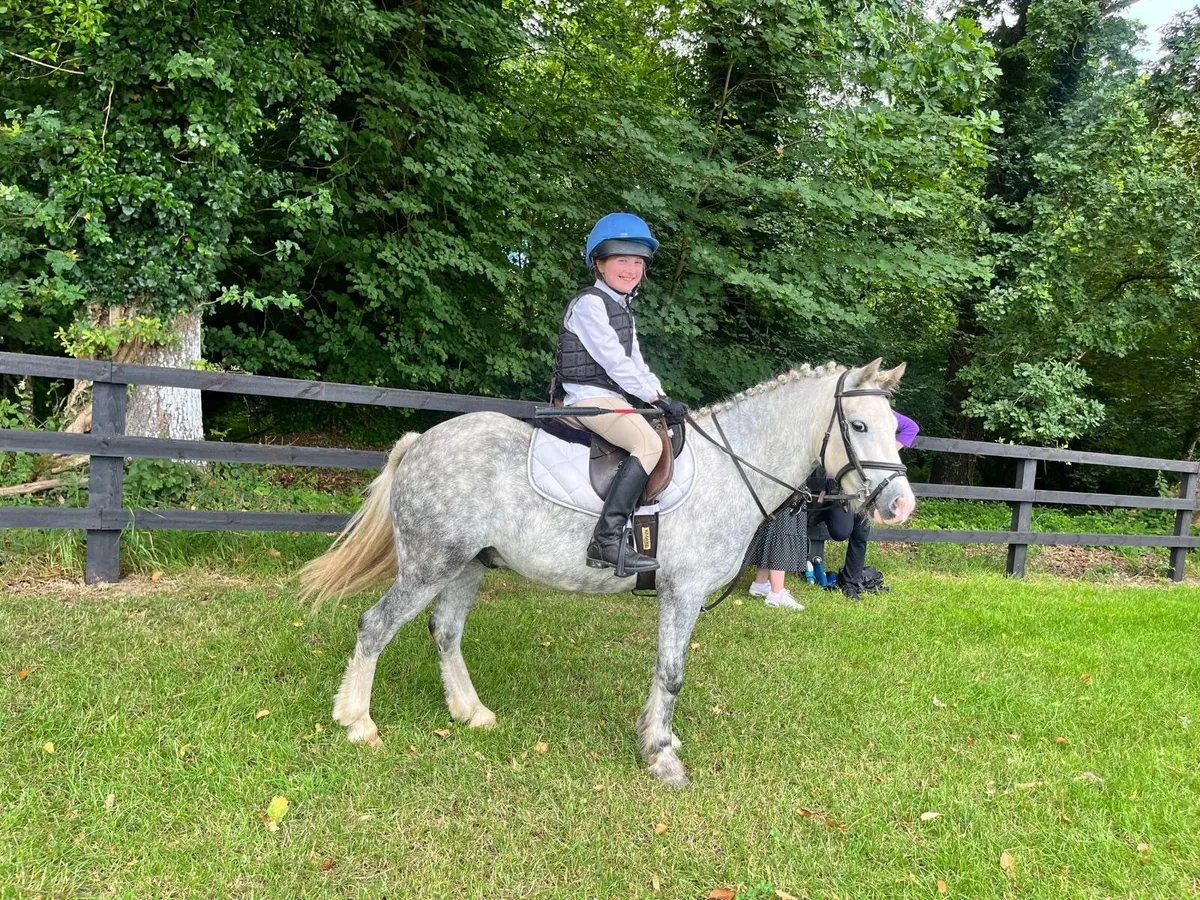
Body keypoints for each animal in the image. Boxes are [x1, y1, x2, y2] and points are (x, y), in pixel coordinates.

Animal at [300, 359, 916, 786]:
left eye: (894, 428)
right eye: (859, 425)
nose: (901, 505)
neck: (732, 465)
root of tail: (421, 442)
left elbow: (662, 673)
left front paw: (654, 741)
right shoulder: (683, 592)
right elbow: (672, 674)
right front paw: (664, 759)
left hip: (467, 565)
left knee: (445, 632)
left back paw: (471, 712)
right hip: (432, 563)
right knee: (376, 626)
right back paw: (357, 722)